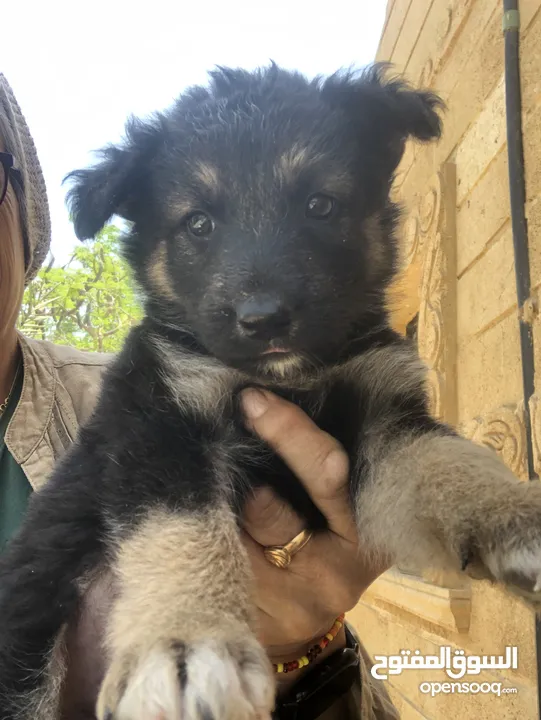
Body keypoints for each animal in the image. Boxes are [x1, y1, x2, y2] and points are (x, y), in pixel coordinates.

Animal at [1, 63, 540, 720]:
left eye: (320, 204)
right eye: (198, 223)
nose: (264, 320)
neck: (285, 379)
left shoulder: (386, 416)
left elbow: (448, 460)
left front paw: (512, 512)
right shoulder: (159, 427)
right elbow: (180, 535)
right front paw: (187, 642)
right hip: (30, 627)